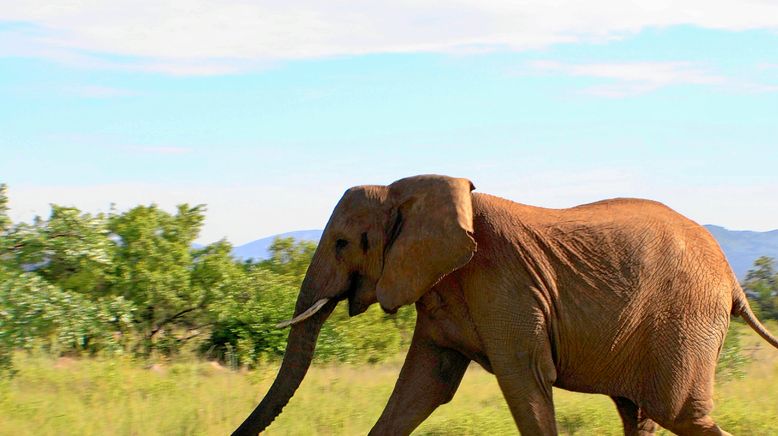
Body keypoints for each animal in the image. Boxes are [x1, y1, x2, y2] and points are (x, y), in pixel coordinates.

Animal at [232, 175, 776, 436]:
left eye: (344, 243)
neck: (408, 190)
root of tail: (733, 281)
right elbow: (420, 390)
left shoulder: (505, 284)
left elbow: (524, 383)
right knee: (640, 416)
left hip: (683, 324)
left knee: (681, 416)